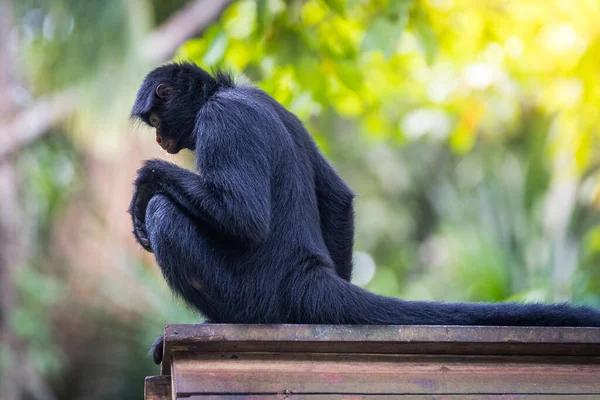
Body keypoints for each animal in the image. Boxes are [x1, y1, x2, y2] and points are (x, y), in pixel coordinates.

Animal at [129, 61, 600, 364]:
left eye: (156, 120)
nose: (158, 141)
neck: (226, 92)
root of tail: (306, 273)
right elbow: (338, 196)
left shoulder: (222, 118)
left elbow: (243, 217)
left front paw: (147, 179)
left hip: (251, 296)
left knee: (165, 213)